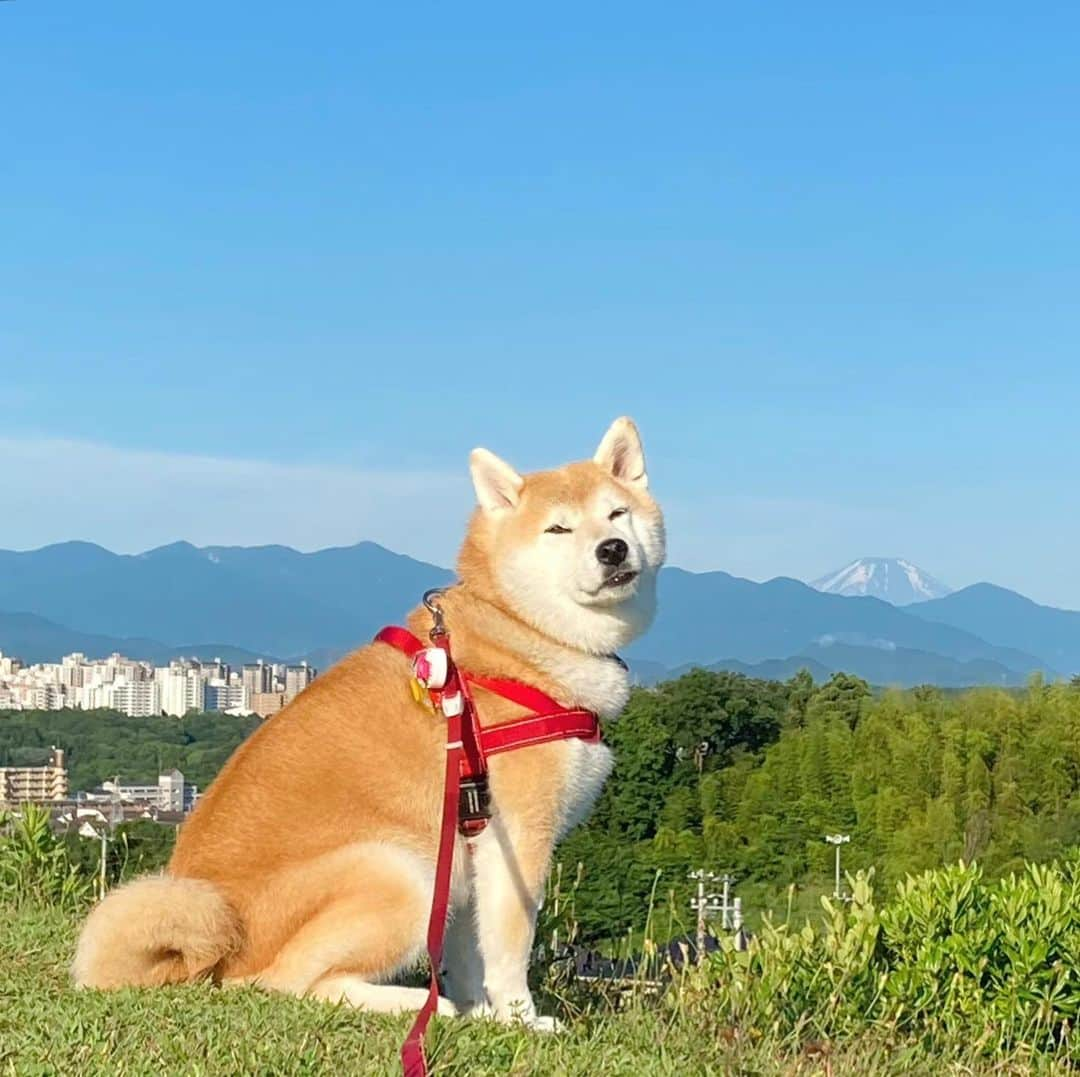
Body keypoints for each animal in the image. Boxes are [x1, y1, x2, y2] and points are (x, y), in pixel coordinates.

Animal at [71, 416, 660, 1028]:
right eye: (558, 528)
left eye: (617, 513)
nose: (613, 549)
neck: (519, 629)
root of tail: (222, 935)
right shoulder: (518, 835)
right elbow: (510, 945)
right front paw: (521, 1018)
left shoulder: (470, 847)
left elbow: (469, 950)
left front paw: (483, 1011)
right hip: (400, 871)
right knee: (286, 983)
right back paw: (417, 1004)